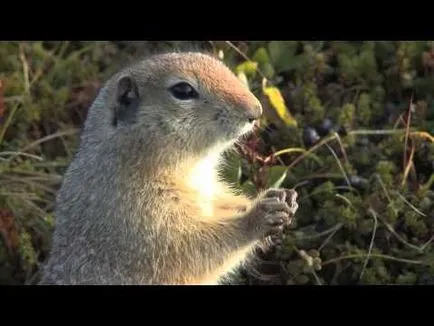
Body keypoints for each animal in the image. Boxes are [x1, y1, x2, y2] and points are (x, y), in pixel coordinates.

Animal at [39, 49, 298, 284]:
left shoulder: (209, 190)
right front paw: (257, 217)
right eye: (182, 91)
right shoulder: (139, 220)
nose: (256, 111)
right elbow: (195, 249)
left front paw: (280, 197)